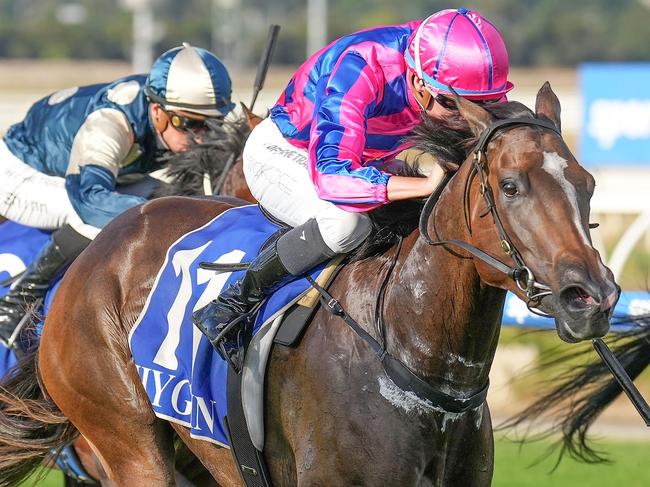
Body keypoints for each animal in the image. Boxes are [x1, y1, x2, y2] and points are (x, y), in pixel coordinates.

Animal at [0, 82, 616, 486]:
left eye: (587, 183)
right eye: (510, 186)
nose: (590, 298)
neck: (409, 354)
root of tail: (100, 250)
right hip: (127, 440)